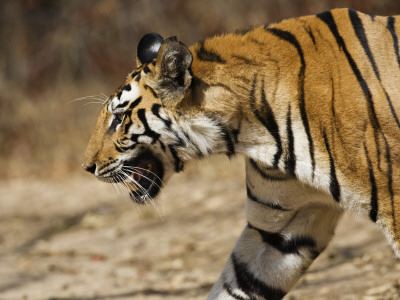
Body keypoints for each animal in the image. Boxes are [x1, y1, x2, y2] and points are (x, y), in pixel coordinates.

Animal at [83, 7, 400, 300]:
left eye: (118, 119)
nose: (87, 166)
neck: (250, 131)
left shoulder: (393, 202)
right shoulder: (282, 227)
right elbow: (236, 283)